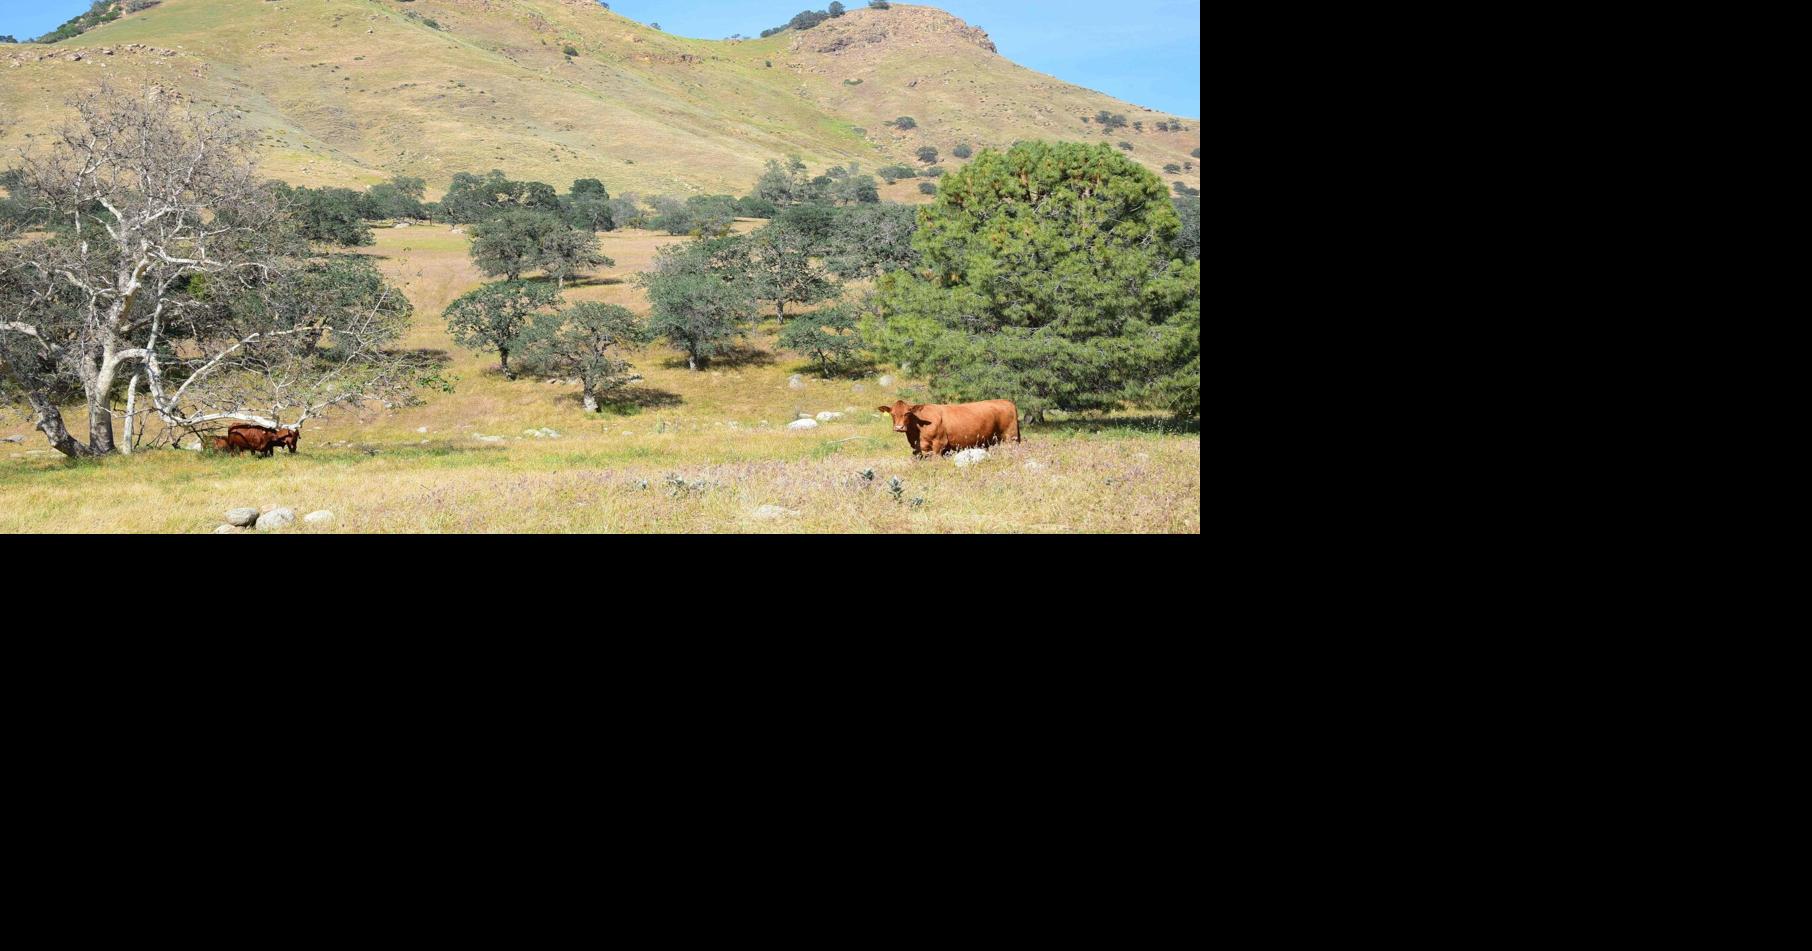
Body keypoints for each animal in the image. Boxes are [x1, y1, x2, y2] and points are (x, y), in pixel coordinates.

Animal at [877, 399, 1021, 457]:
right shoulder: (917, 449)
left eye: (907, 413)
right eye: (892, 414)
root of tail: (1007, 401)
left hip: (1010, 437)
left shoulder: (938, 445)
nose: (899, 427)